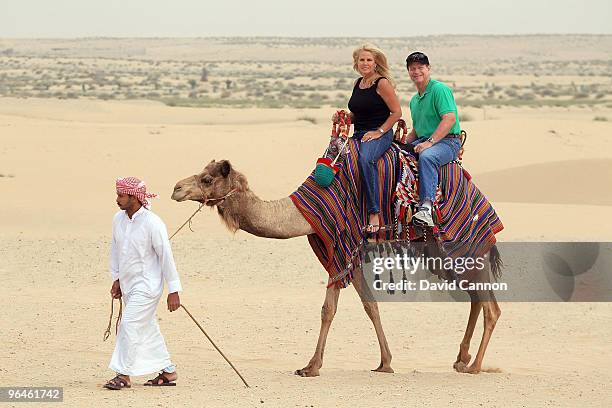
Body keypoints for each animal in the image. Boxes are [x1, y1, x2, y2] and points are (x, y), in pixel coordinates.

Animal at [171, 157, 502, 376]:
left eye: (206, 179)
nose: (176, 188)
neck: (302, 211)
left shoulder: (341, 243)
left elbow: (329, 309)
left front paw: (312, 367)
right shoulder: (343, 254)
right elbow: (367, 305)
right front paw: (384, 362)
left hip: (463, 245)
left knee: (490, 307)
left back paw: (474, 366)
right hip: (447, 255)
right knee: (476, 298)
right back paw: (461, 358)